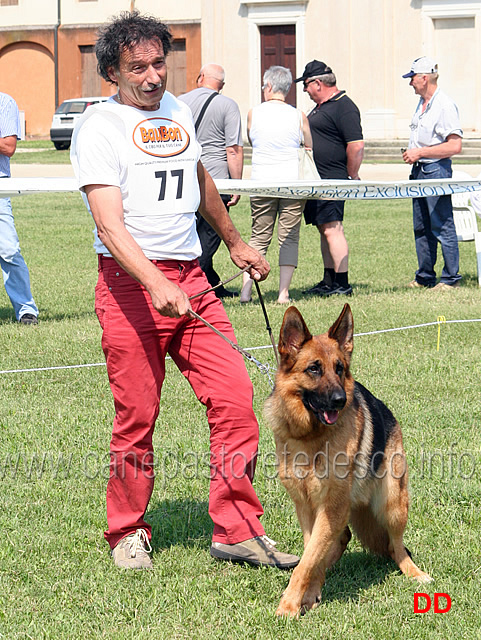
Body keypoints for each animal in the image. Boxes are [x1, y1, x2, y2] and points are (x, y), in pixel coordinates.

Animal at [264, 304, 430, 620]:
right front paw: (309, 595)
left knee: (396, 546)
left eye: (339, 368)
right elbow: (310, 555)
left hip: (392, 505)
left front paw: (289, 606)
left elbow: (307, 561)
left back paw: (414, 572)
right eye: (314, 369)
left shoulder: (331, 506)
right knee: (341, 540)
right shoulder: (307, 506)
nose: (341, 400)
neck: (311, 437)